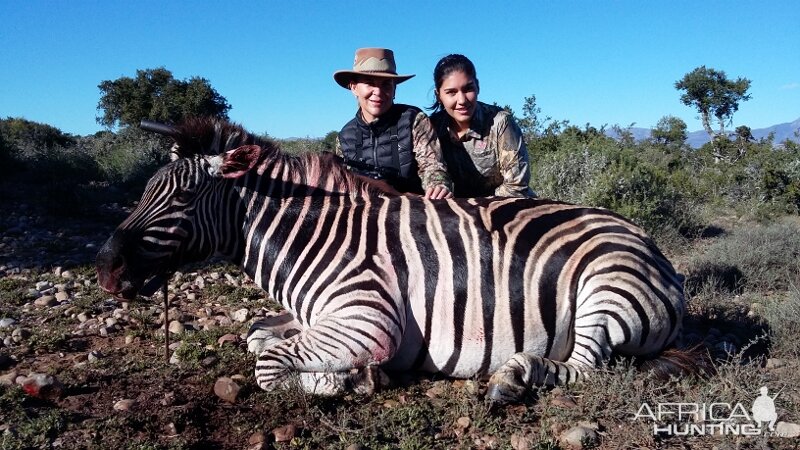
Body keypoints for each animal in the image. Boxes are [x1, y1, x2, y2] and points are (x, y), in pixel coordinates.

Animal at [95, 118, 692, 402]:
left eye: (183, 196)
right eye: (145, 188)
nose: (106, 270)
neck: (315, 236)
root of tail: (655, 252)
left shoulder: (368, 319)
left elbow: (267, 366)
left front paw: (350, 381)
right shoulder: (312, 318)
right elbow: (257, 337)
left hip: (604, 291)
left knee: (586, 368)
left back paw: (513, 377)